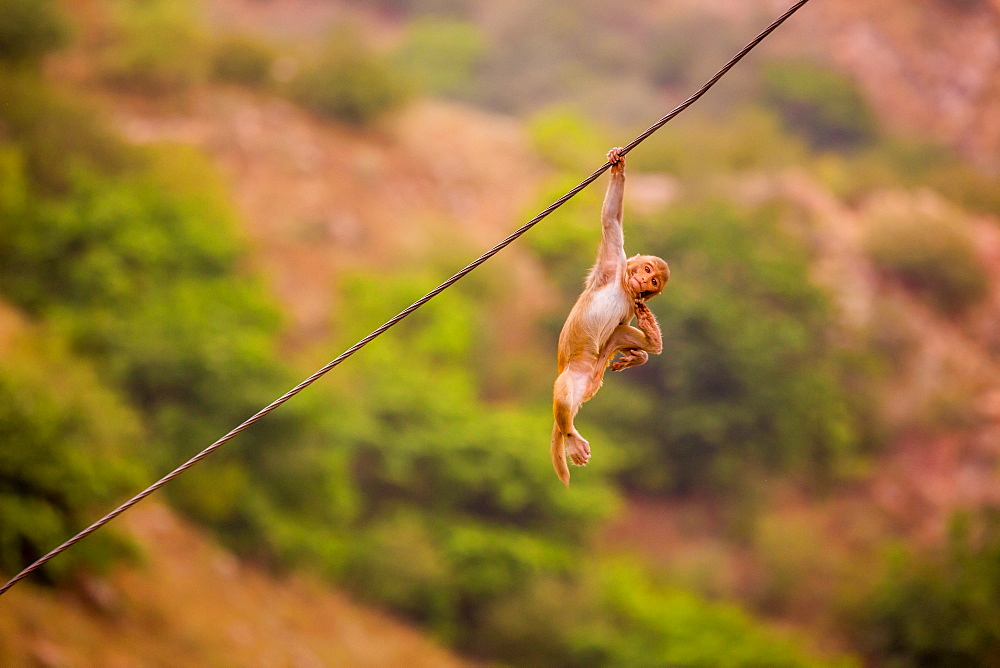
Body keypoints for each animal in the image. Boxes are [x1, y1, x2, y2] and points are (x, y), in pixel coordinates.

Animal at [552, 147, 668, 486]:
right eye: (646, 269)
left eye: (654, 281)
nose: (643, 281)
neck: (624, 287)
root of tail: (590, 382)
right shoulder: (613, 260)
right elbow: (611, 220)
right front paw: (619, 166)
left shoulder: (634, 302)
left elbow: (623, 324)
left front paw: (641, 348)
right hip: (574, 377)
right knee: (563, 393)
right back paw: (570, 437)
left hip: (594, 373)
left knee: (619, 335)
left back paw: (651, 342)